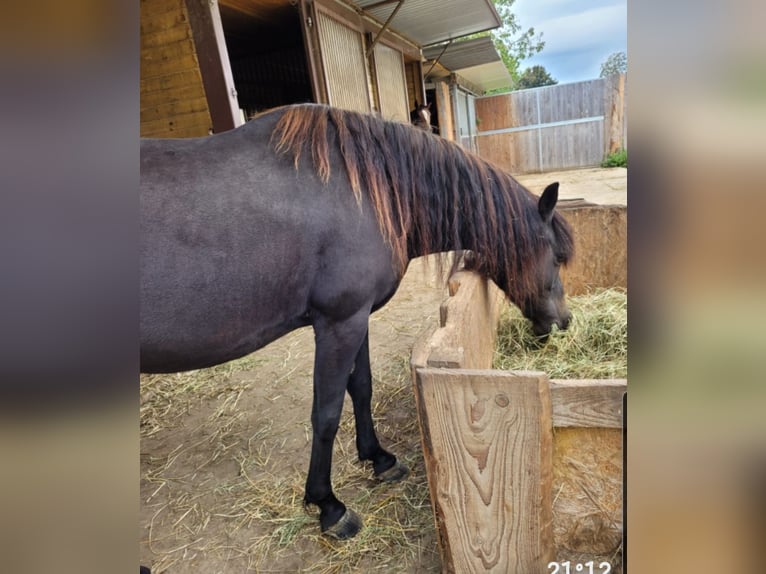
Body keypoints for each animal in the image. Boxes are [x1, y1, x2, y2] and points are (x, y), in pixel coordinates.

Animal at [141, 106, 576, 544]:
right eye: (556, 256)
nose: (564, 322)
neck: (365, 193)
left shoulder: (357, 318)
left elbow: (361, 388)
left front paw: (379, 459)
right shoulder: (338, 324)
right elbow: (327, 413)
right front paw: (329, 505)